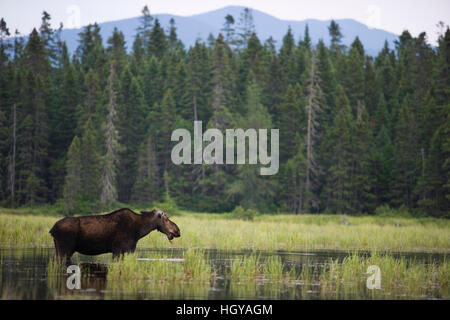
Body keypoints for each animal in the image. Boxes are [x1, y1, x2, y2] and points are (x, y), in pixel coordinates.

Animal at [50, 208, 180, 262]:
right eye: (166, 219)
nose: (177, 230)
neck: (139, 231)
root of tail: (52, 229)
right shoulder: (119, 250)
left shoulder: (127, 251)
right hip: (65, 249)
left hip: (58, 248)